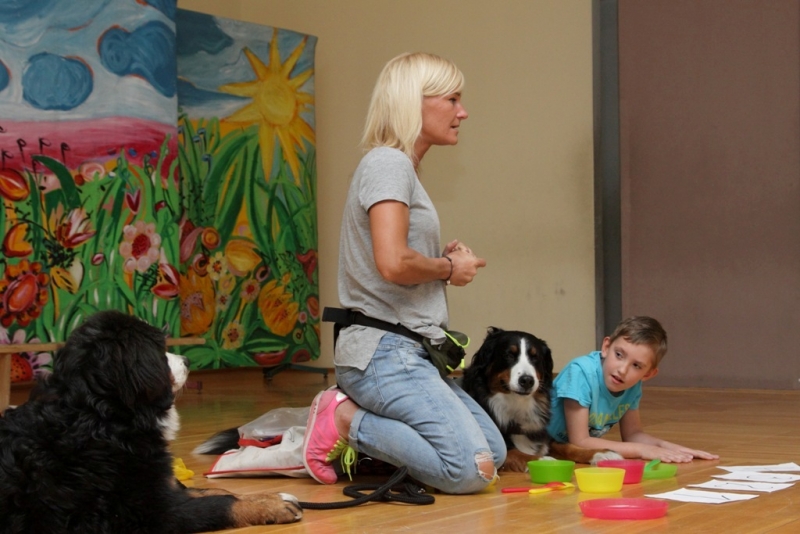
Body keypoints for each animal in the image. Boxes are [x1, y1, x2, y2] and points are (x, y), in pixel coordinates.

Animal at [0, 310, 302, 534]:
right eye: (158, 349)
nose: (187, 359)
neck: (103, 418)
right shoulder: (147, 512)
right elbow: (219, 504)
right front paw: (271, 506)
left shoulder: (160, 485)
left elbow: (212, 490)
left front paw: (271, 497)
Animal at [459, 327, 621, 472]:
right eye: (509, 355)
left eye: (535, 357)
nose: (527, 380)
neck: (516, 403)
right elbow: (517, 452)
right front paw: (544, 461)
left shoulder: (544, 436)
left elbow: (567, 446)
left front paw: (602, 453)